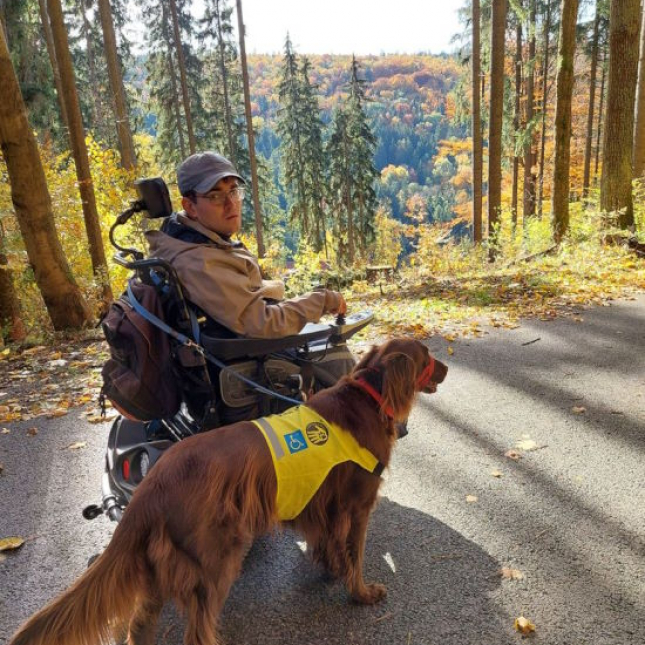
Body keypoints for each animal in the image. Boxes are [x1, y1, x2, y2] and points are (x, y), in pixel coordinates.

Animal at [8, 338, 448, 644]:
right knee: (196, 633)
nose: (444, 366)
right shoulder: (357, 506)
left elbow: (330, 546)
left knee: (139, 624)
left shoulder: (324, 506)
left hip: (162, 568)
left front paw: (331, 570)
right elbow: (354, 554)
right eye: (427, 357)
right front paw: (362, 593)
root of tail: (153, 483)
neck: (367, 398)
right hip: (216, 560)